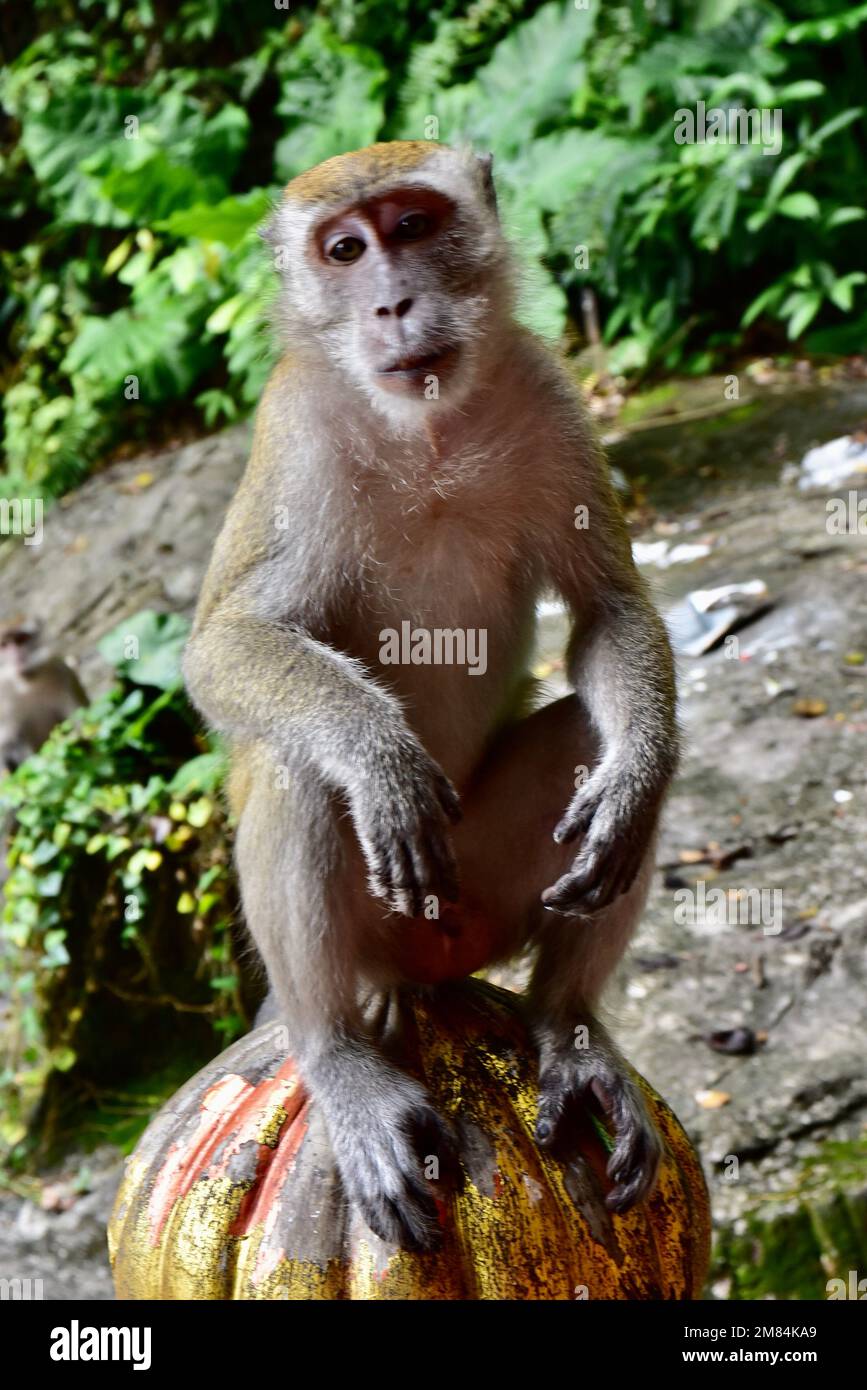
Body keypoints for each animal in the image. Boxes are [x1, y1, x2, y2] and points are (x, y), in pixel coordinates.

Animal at [0, 619, 87, 772]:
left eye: (21, 640)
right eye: (4, 645)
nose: (17, 658)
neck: (28, 683)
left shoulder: (61, 672)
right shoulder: (3, 692)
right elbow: (10, 742)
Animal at [186, 146, 680, 1256]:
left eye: (411, 225)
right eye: (343, 250)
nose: (392, 302)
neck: (429, 430)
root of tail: (420, 971)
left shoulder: (546, 388)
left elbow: (607, 607)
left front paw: (633, 776)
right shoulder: (295, 431)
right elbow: (222, 647)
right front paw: (375, 751)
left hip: (480, 893)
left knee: (592, 743)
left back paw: (566, 1025)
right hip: (380, 926)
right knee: (293, 767)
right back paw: (339, 1059)